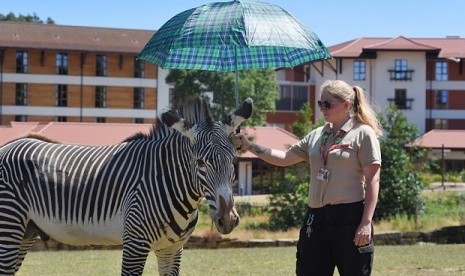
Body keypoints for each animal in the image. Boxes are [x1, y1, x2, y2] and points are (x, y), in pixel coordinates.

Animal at [0, 96, 252, 274]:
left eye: (233, 160)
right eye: (199, 162)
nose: (228, 219)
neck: (165, 179)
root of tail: (8, 147)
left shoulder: (172, 249)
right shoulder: (135, 244)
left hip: (26, 231)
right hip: (9, 225)